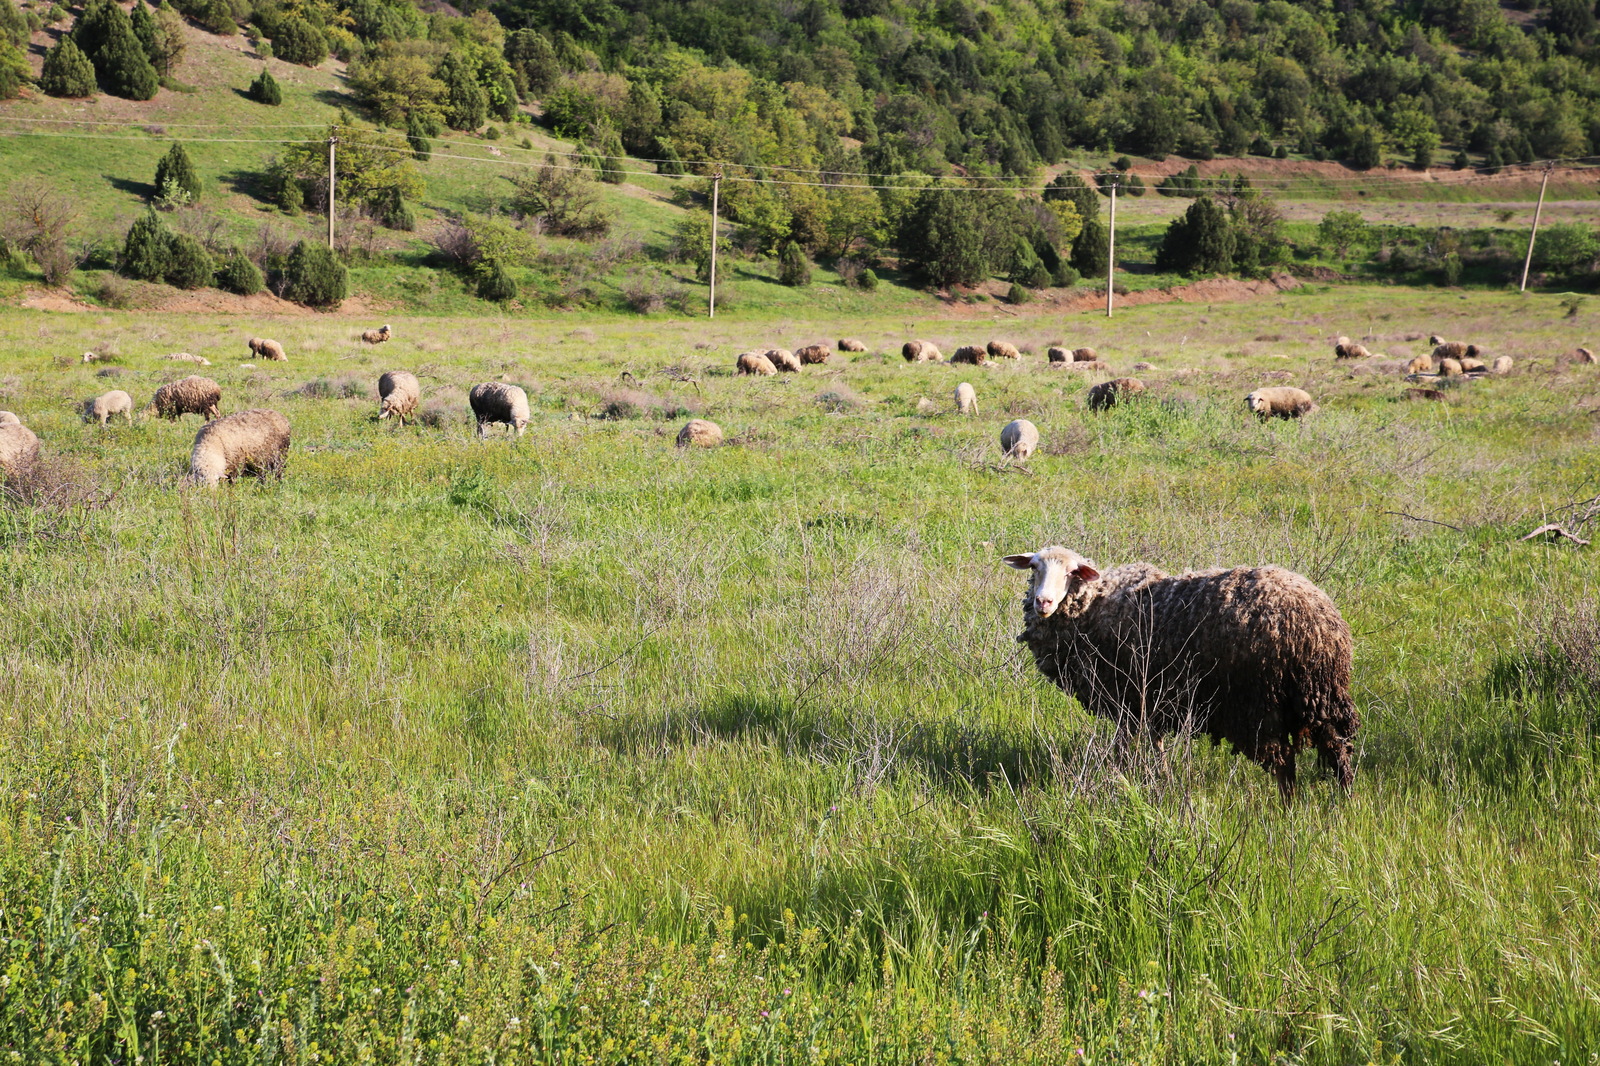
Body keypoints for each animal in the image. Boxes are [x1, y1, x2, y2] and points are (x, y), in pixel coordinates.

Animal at [1004, 544, 1356, 793]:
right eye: (1035, 567)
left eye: (1072, 572)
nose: (1043, 602)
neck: (1095, 606)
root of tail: (1317, 622)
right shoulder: (1150, 698)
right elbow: (1155, 741)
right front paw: (1160, 776)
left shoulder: (1126, 696)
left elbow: (1125, 748)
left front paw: (1122, 779)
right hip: (1320, 695)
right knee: (1338, 748)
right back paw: (1343, 802)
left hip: (1262, 702)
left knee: (1284, 761)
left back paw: (1289, 809)